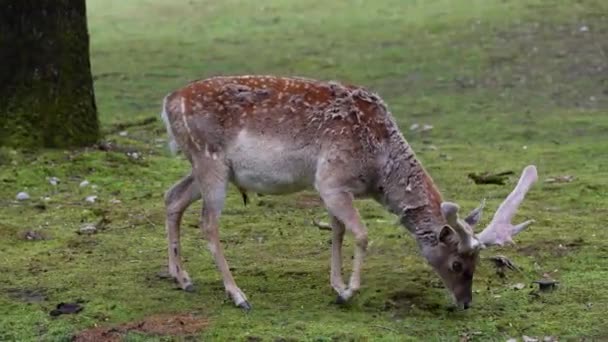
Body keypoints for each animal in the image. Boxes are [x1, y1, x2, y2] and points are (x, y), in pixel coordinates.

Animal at [159, 75, 540, 310]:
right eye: (458, 262)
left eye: (477, 262)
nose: (465, 302)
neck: (378, 169)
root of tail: (167, 102)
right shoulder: (330, 180)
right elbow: (361, 234)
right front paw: (349, 293)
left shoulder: (336, 189)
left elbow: (338, 232)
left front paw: (336, 284)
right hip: (210, 161)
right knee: (208, 223)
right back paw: (238, 295)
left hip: (204, 167)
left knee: (172, 196)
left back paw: (183, 278)